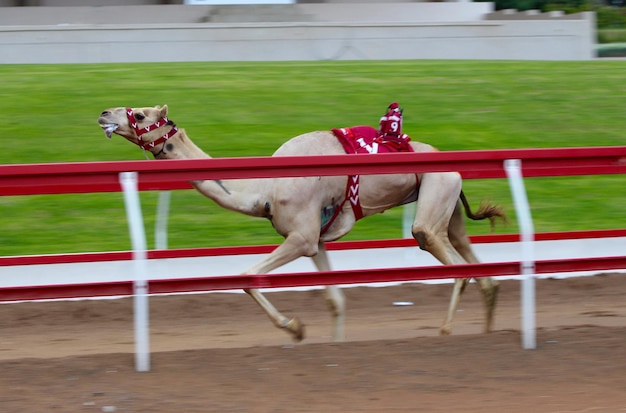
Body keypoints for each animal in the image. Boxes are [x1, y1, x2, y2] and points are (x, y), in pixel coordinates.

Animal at [98, 103, 508, 342]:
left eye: (140, 115)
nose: (103, 113)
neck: (265, 188)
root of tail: (451, 163)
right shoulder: (318, 240)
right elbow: (335, 301)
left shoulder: (302, 236)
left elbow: (248, 276)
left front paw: (295, 328)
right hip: (449, 206)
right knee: (481, 270)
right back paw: (488, 332)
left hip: (435, 199)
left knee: (452, 262)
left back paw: (447, 331)